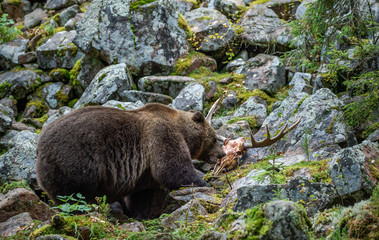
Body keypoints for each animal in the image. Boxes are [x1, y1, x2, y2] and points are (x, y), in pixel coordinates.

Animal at [36, 103, 226, 219]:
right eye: (214, 139)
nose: (222, 154)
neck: (182, 130)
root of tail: (40, 144)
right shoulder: (161, 136)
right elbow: (173, 169)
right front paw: (205, 183)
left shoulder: (145, 171)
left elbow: (143, 194)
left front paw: (142, 214)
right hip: (75, 162)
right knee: (74, 197)